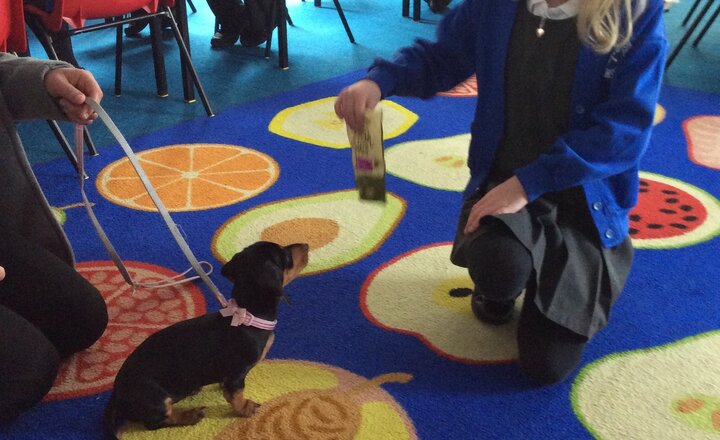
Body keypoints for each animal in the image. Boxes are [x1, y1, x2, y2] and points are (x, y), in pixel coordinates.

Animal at [103, 241, 309, 439]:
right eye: (285, 256)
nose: (306, 245)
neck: (246, 316)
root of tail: (116, 394)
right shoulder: (236, 373)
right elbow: (236, 395)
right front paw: (245, 409)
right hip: (156, 400)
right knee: (156, 422)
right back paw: (190, 415)